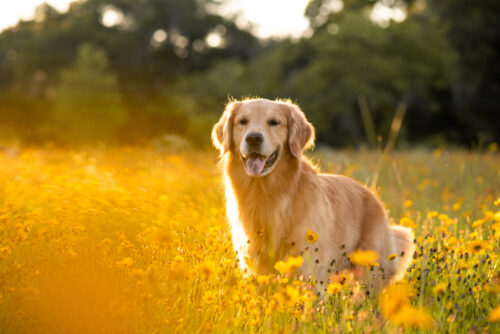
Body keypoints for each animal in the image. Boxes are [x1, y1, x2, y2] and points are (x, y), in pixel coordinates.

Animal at [211, 98, 414, 290]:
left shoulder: (309, 267)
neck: (267, 194)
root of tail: (373, 195)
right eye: (242, 121)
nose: (253, 138)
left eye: (274, 122)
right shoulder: (256, 268)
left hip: (370, 273)